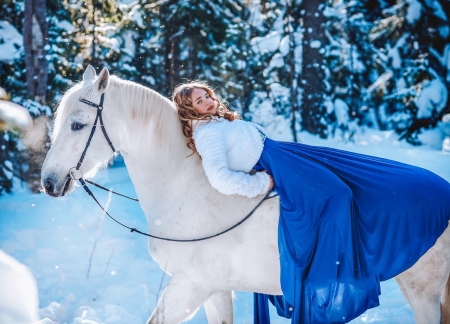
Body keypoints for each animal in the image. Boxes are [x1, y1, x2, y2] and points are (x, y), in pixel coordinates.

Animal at [42, 66, 450, 324]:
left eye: (77, 125)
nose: (48, 181)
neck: (184, 189)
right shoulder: (213, 290)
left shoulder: (191, 286)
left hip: (424, 289)